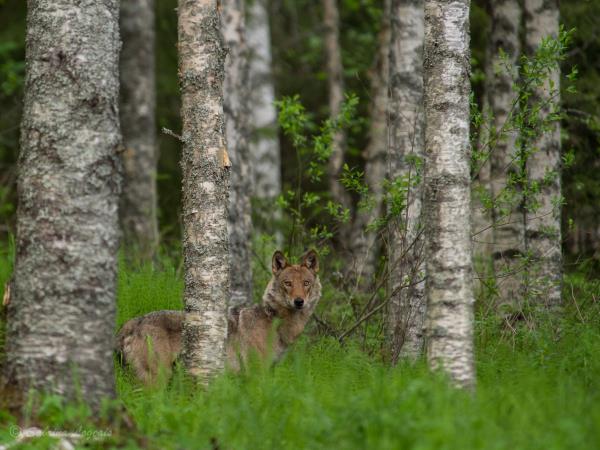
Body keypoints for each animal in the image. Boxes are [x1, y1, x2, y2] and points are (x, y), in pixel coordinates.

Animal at [118, 250, 324, 384]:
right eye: (288, 283)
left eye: (306, 283)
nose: (299, 301)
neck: (275, 321)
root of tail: (133, 322)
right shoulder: (257, 372)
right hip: (157, 378)